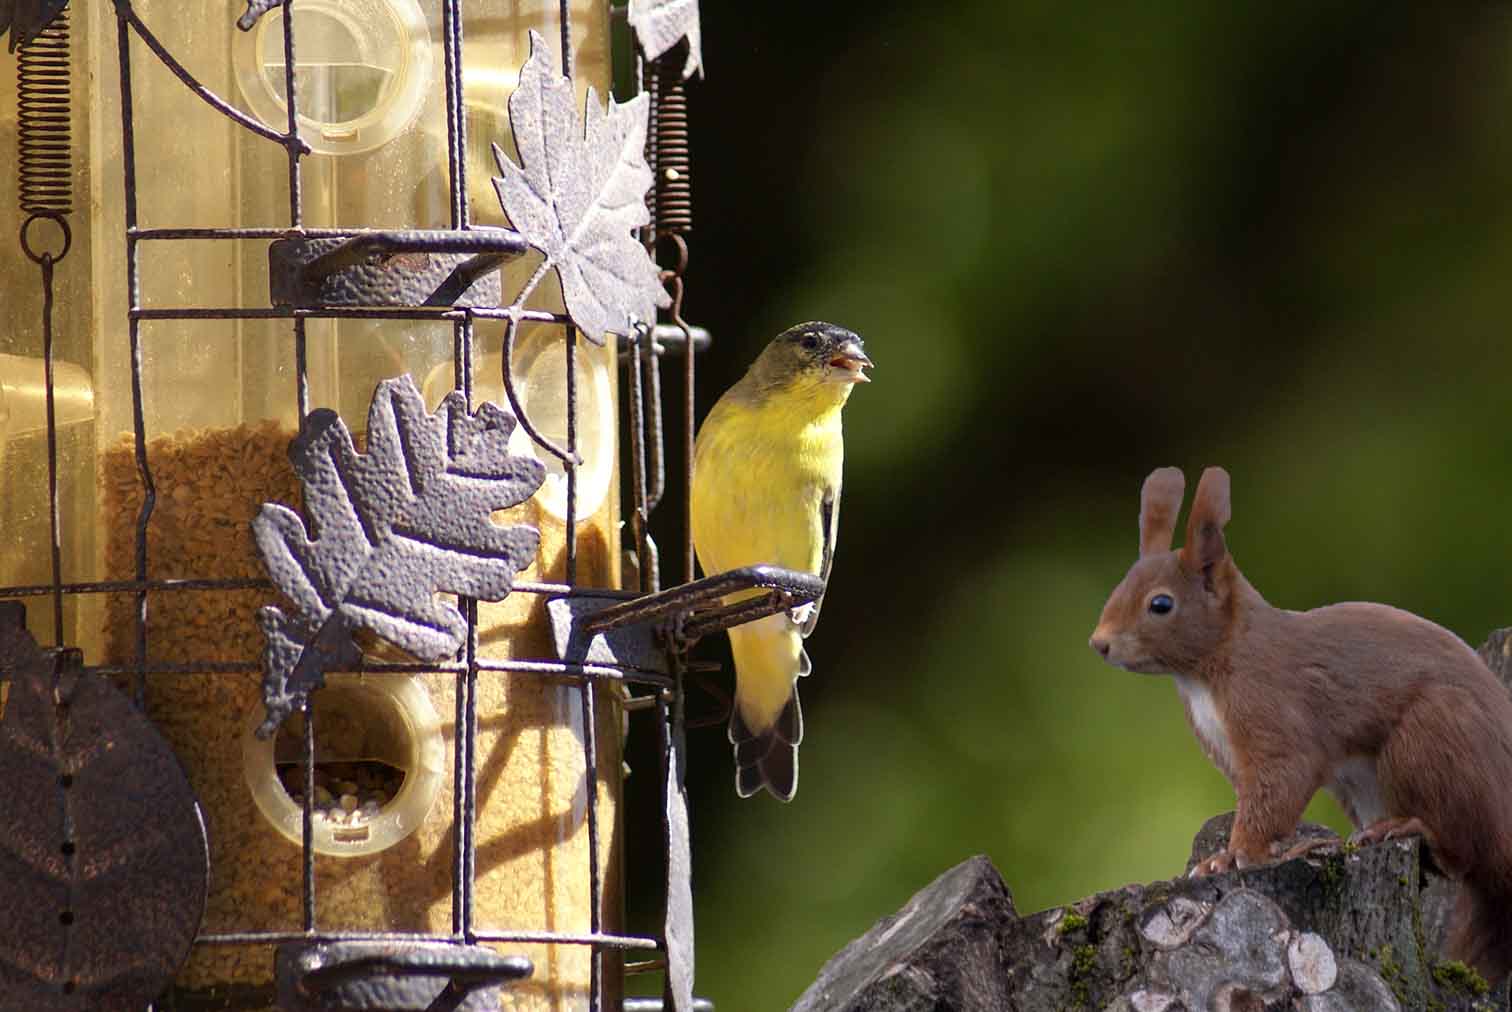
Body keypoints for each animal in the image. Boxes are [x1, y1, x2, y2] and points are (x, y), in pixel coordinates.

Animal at [1089, 465, 1512, 982]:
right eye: (1118, 589)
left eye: (1161, 605)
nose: (1099, 643)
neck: (1211, 667)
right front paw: (1222, 858)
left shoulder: (1275, 716)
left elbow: (1279, 786)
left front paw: (1240, 855)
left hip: (1436, 739)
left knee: (1461, 849)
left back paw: (1404, 827)